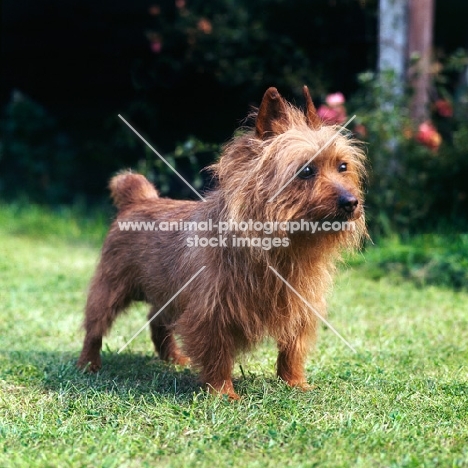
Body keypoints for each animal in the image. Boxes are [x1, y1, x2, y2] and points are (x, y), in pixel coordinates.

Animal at [78, 87, 368, 398]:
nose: (352, 202)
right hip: (110, 286)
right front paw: (223, 393)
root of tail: (139, 199)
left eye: (342, 166)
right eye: (306, 171)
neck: (283, 249)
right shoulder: (211, 311)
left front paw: (295, 383)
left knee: (157, 321)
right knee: (95, 326)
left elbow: (293, 349)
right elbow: (217, 354)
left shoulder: (301, 307)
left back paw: (173, 358)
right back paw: (88, 363)